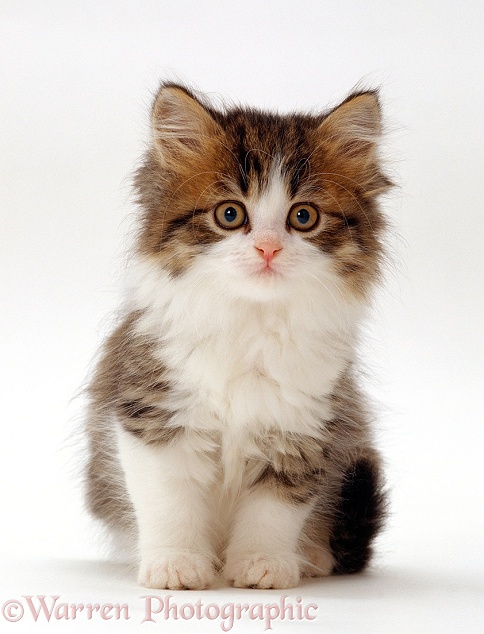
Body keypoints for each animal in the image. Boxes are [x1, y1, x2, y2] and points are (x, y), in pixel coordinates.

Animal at [85, 82, 392, 588]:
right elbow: (169, 501)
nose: (267, 248)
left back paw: (310, 556)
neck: (252, 323)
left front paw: (262, 565)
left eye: (303, 217)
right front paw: (176, 565)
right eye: (230, 214)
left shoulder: (302, 426)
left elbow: (274, 510)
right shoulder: (156, 413)